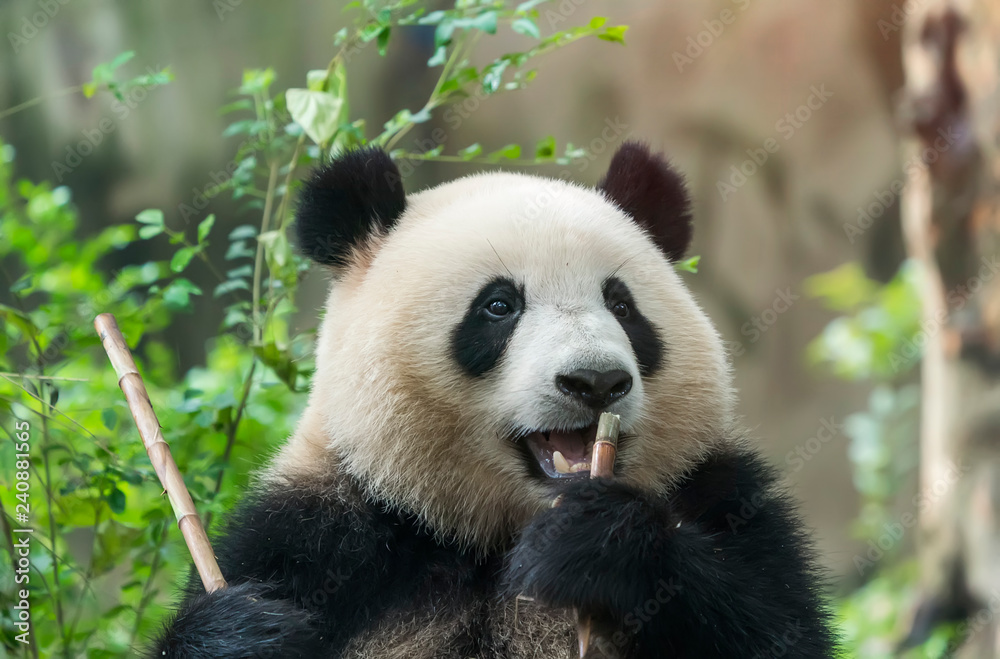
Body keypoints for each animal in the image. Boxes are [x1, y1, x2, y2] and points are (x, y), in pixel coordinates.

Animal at [151, 142, 838, 658]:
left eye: (622, 305)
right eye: (499, 305)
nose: (595, 382)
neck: (493, 534)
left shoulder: (722, 494)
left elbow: (778, 629)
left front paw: (597, 541)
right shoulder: (318, 534)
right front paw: (247, 633)